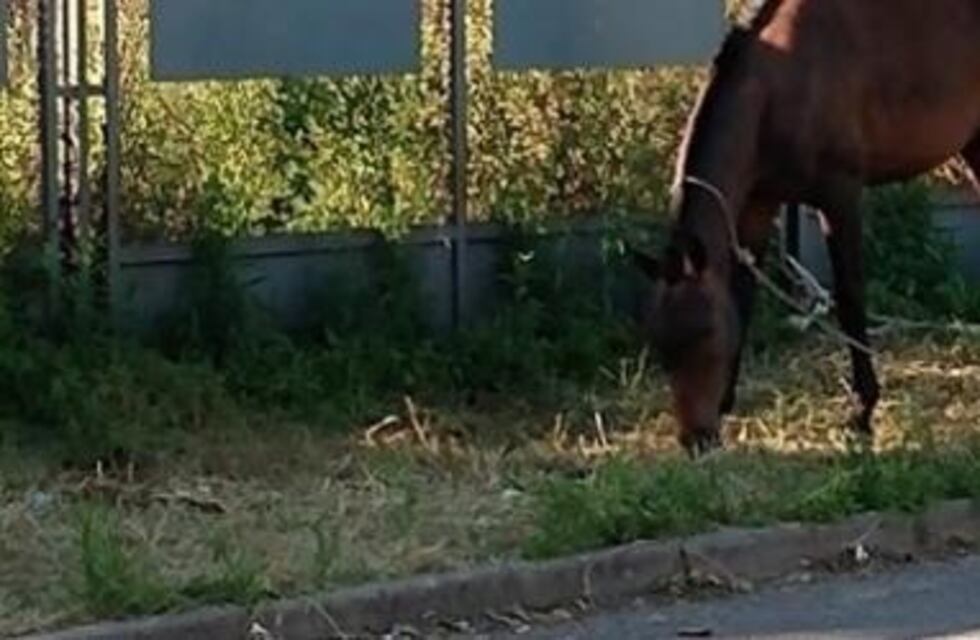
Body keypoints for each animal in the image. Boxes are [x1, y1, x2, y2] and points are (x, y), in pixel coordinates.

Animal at [630, 0, 980, 456]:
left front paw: (862, 412)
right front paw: (726, 405)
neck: (779, 84)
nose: (696, 440)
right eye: (660, 345)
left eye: (704, 333)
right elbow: (743, 297)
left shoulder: (840, 195)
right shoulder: (758, 206)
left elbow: (850, 299)